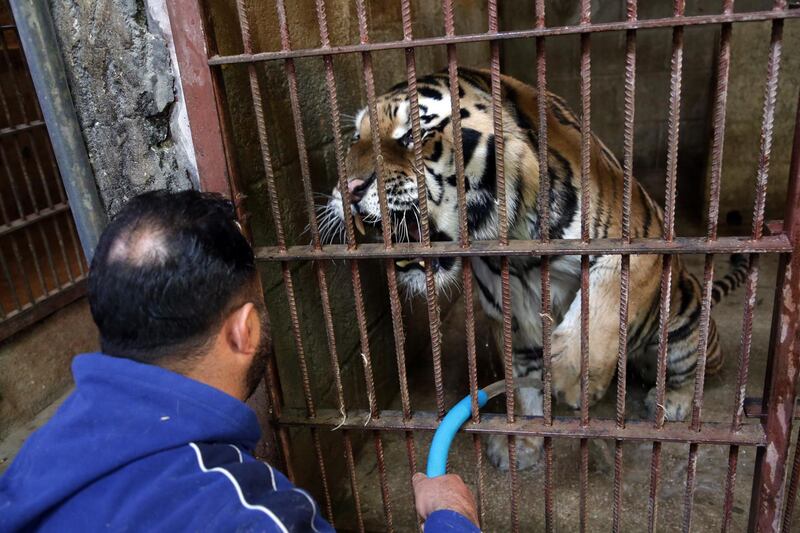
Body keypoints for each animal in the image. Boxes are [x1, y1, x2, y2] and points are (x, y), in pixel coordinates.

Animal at [318, 67, 752, 470]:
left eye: (412, 136)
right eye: (355, 138)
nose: (347, 190)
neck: (512, 240)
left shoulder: (637, 245)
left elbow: (603, 302)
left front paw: (574, 377)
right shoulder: (512, 316)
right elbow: (523, 385)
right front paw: (521, 440)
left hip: (684, 325)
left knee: (691, 372)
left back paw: (674, 403)